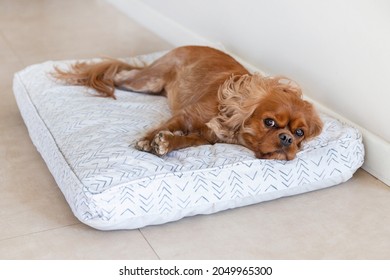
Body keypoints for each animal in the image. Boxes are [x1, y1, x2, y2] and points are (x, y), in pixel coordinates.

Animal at [54, 45, 322, 160]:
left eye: (299, 133)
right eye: (269, 122)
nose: (287, 139)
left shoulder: (204, 138)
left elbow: (184, 140)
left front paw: (166, 143)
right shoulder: (186, 115)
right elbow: (165, 126)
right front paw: (147, 141)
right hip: (147, 81)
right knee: (121, 75)